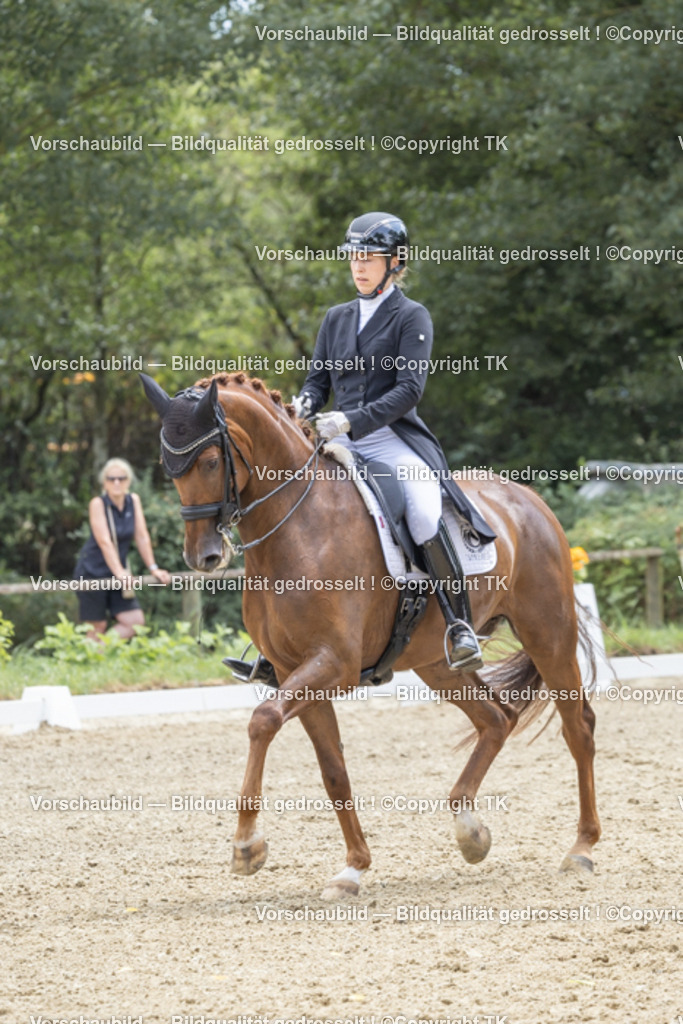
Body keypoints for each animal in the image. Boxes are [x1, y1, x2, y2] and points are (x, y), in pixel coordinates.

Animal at [141, 371, 600, 900]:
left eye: (212, 461)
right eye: (169, 467)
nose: (204, 557)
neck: (297, 528)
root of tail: (527, 499)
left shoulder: (333, 664)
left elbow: (262, 721)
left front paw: (247, 846)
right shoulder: (296, 672)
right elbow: (333, 772)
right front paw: (352, 869)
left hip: (549, 632)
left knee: (578, 728)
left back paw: (581, 849)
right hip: (436, 662)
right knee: (497, 718)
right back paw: (471, 832)